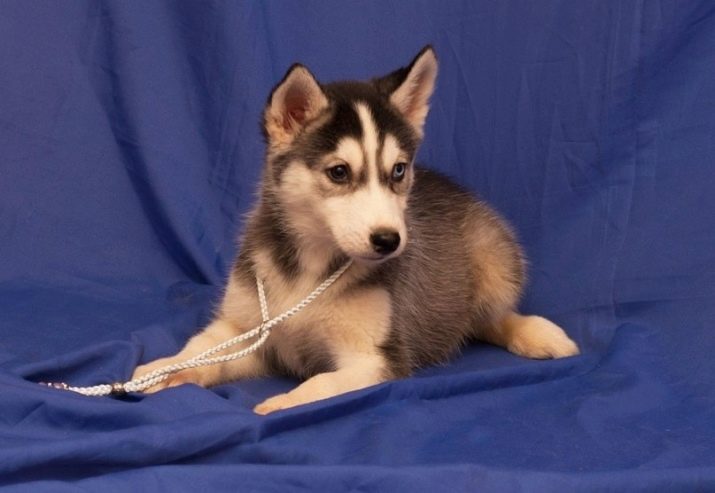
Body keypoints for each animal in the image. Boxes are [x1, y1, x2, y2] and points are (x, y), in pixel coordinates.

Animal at [132, 46, 579, 414]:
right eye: (339, 172)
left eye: (398, 171)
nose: (389, 241)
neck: (309, 268)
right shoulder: (246, 329)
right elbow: (203, 349)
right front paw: (166, 367)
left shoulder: (376, 358)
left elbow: (320, 383)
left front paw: (280, 404)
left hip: (495, 259)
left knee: (486, 316)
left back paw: (538, 334)